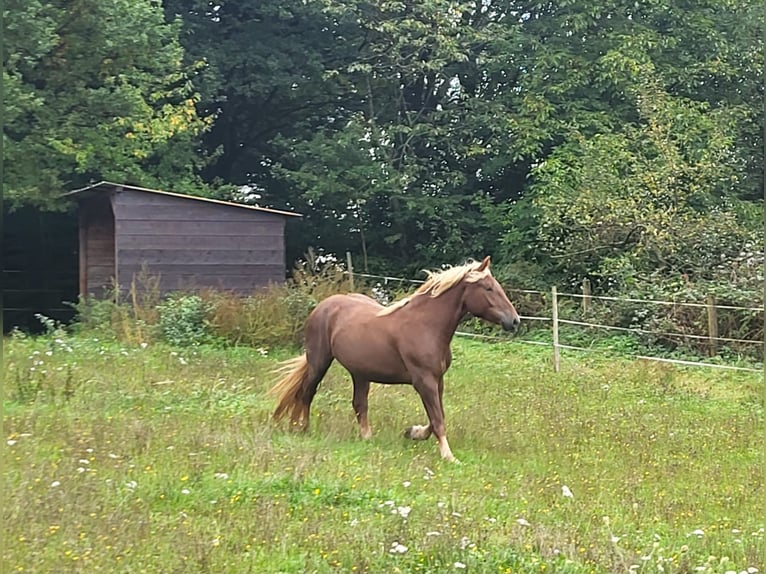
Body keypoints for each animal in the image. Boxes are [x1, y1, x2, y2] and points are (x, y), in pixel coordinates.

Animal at [268, 256, 520, 462]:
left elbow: (436, 418)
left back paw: (366, 437)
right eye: (488, 288)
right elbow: (438, 419)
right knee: (306, 392)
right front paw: (449, 457)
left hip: (360, 373)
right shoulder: (424, 381)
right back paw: (301, 428)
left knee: (359, 404)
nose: (515, 320)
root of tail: (323, 306)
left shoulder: (437, 380)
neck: (427, 325)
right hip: (319, 361)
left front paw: (412, 432)